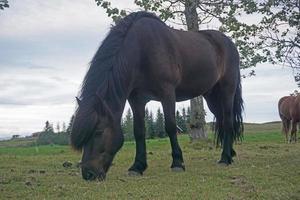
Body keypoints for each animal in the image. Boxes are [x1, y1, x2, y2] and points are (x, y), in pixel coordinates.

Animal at [71, 11, 244, 181]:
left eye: (98, 132)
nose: (88, 174)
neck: (141, 50)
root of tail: (229, 43)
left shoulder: (167, 94)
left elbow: (170, 126)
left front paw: (177, 163)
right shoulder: (136, 99)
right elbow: (139, 131)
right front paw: (137, 166)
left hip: (227, 90)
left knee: (227, 121)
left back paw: (225, 158)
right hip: (211, 96)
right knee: (221, 119)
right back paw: (231, 153)